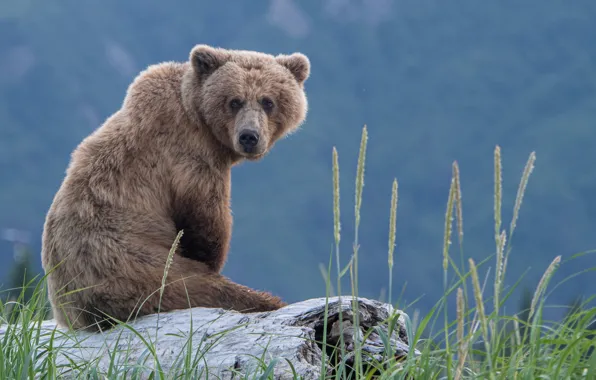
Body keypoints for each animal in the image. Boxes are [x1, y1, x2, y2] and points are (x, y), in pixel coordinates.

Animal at [41, 43, 310, 332]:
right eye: (235, 101)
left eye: (268, 101)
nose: (249, 136)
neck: (198, 116)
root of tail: (73, 314)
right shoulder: (189, 154)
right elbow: (205, 219)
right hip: (129, 264)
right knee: (199, 288)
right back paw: (269, 301)